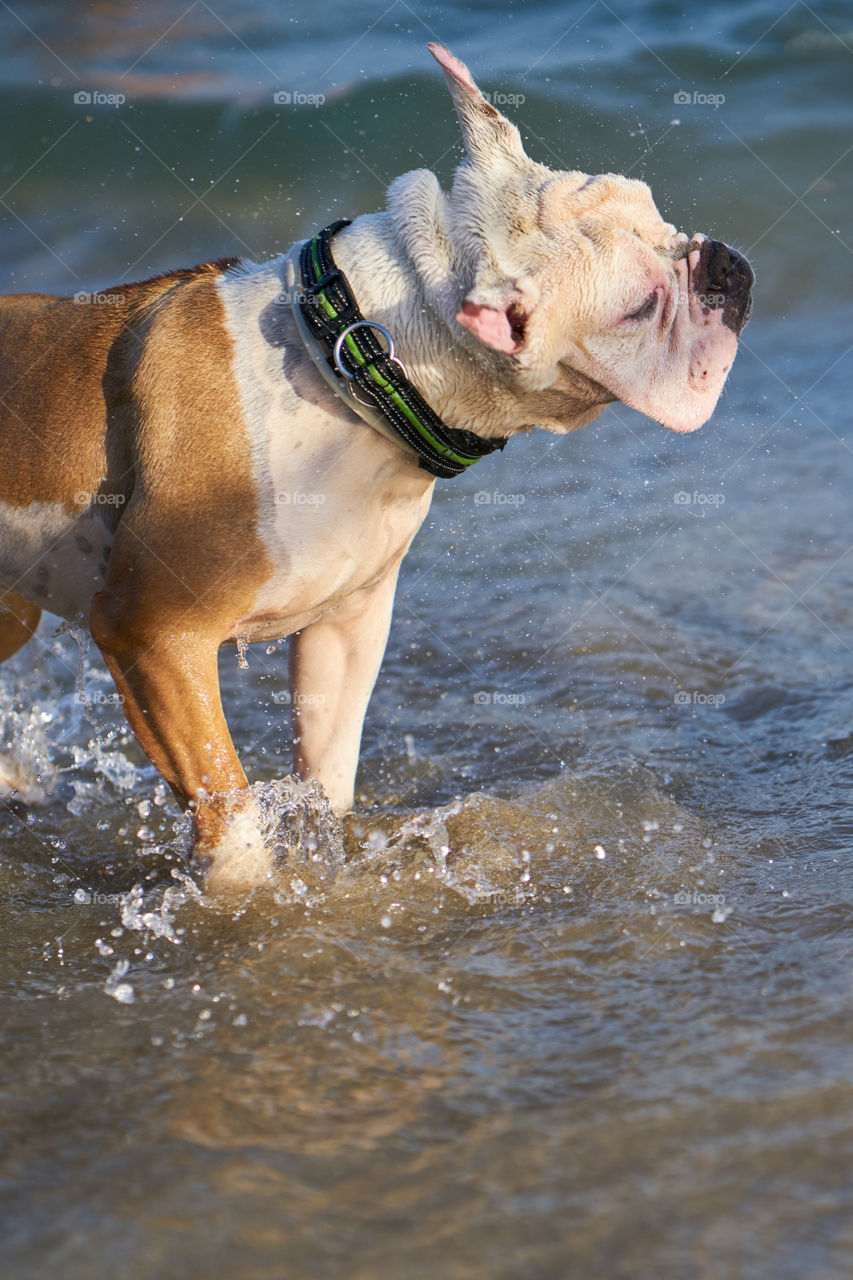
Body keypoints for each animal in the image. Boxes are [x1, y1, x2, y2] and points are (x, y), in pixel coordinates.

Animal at [0, 42, 747, 880]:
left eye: (659, 215)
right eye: (639, 307)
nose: (725, 265)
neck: (352, 361)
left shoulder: (343, 631)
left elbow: (327, 777)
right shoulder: (154, 636)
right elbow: (231, 815)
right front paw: (250, 898)